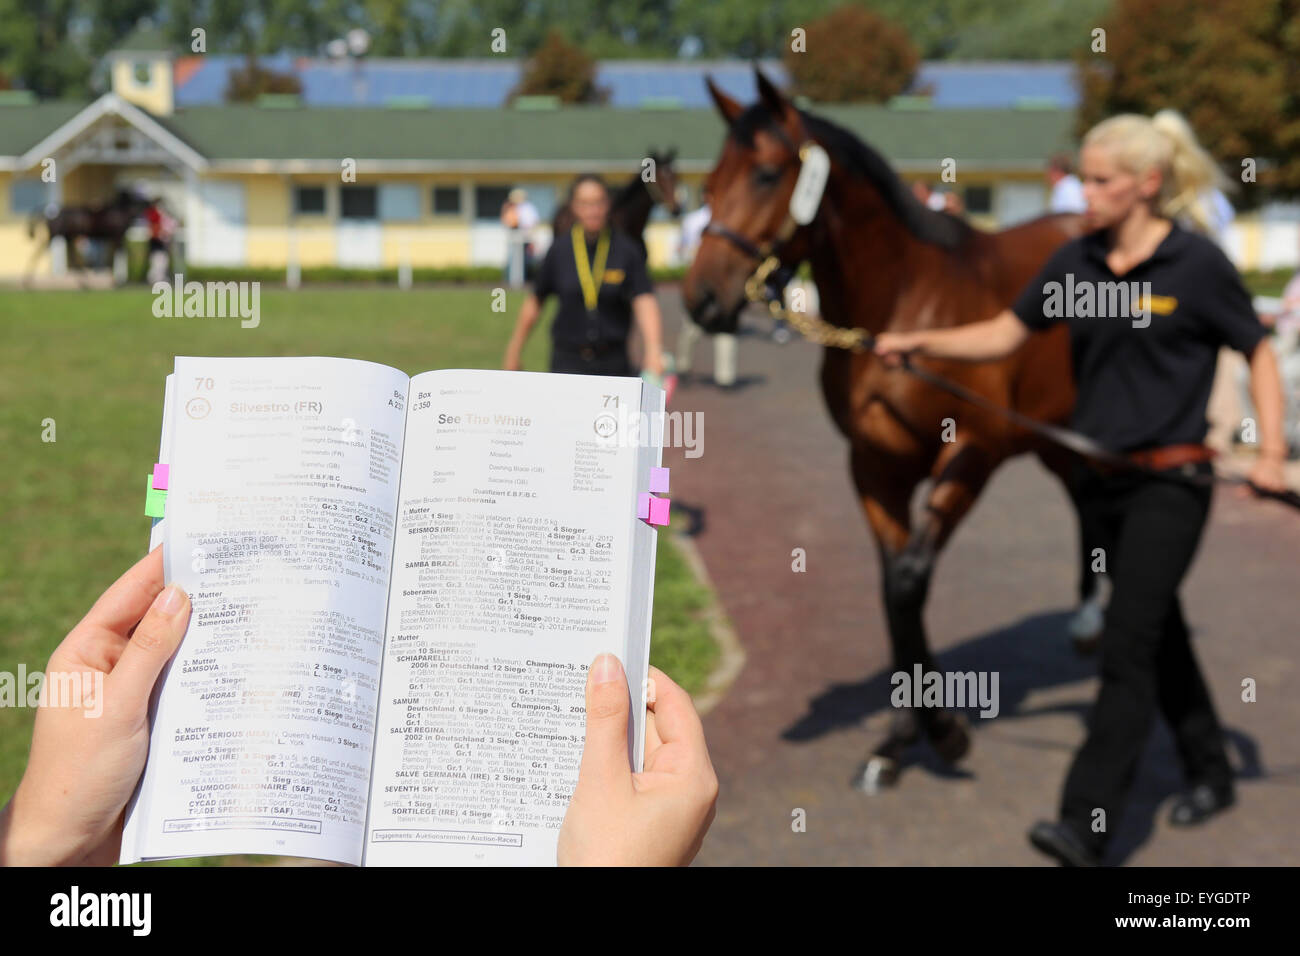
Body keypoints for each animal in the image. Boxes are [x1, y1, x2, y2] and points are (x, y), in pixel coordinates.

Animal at [686, 70, 1092, 790]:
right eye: (708, 184)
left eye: (765, 173)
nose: (702, 298)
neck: (905, 308)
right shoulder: (875, 464)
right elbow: (892, 593)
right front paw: (897, 742)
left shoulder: (974, 453)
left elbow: (909, 581)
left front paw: (945, 733)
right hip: (1051, 438)